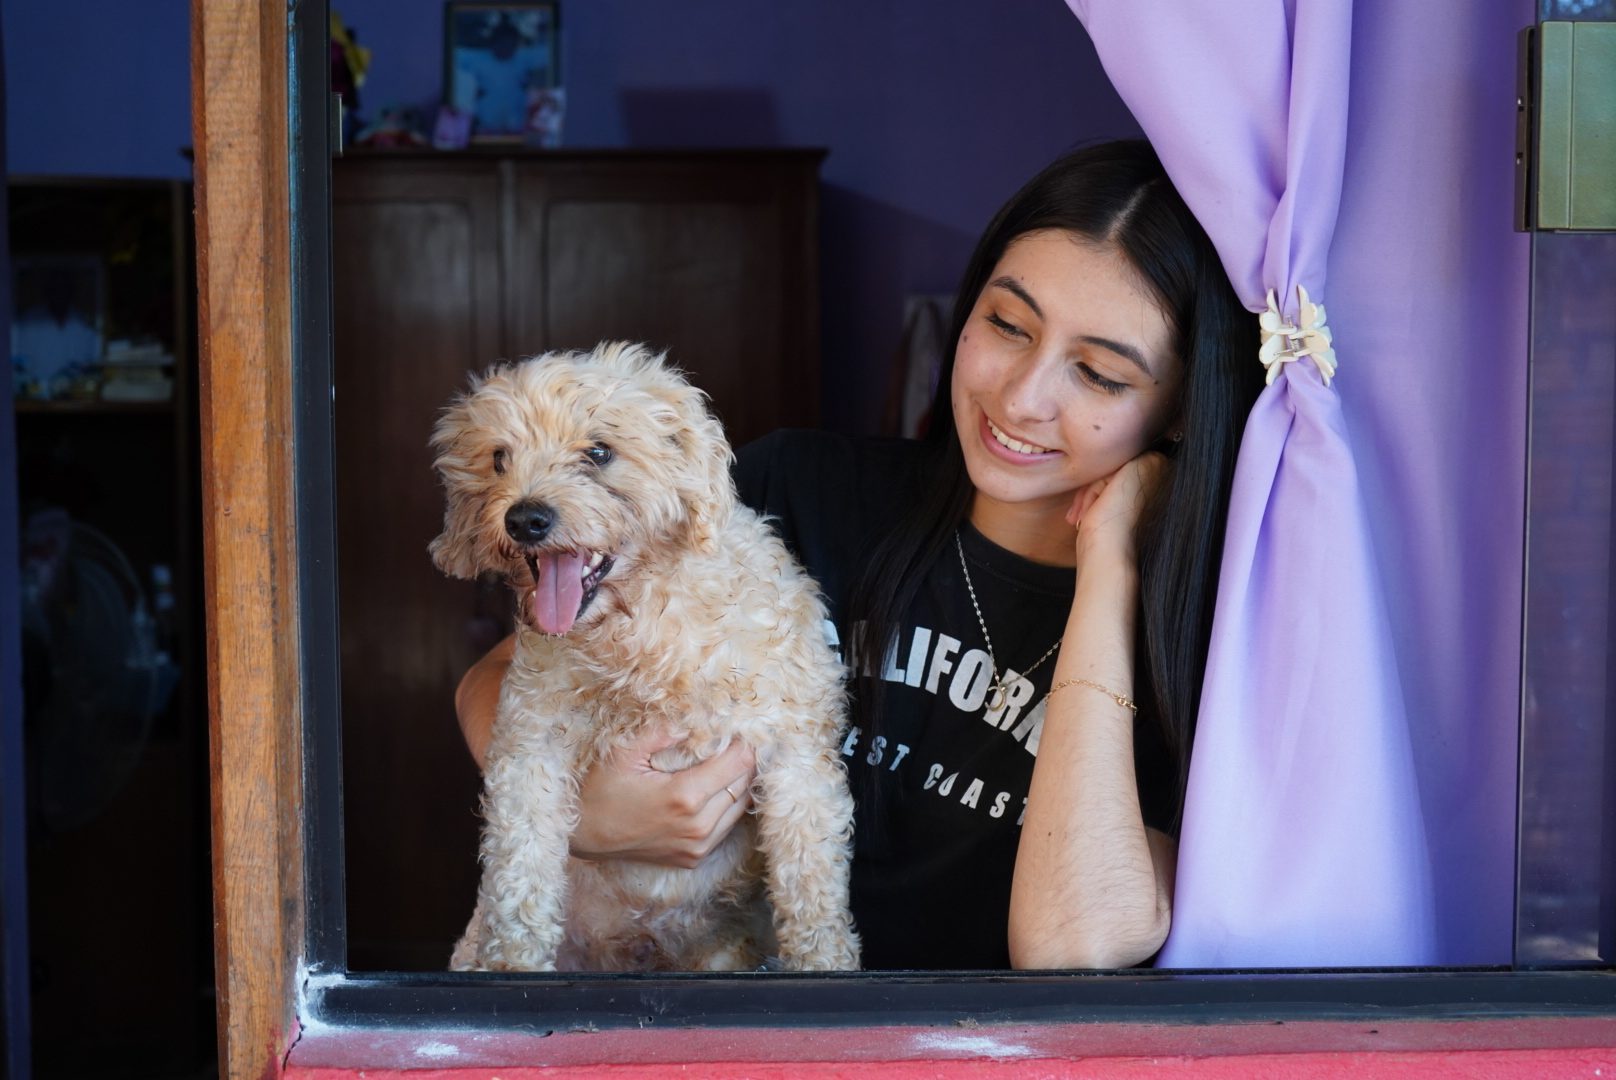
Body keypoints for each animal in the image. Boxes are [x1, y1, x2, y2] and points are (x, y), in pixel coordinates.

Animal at [429, 344, 859, 970]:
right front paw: (512, 964)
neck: (641, 636)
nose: (525, 519)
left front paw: (824, 966)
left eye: (599, 452)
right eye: (499, 457)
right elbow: (519, 864)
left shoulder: (795, 753)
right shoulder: (530, 743)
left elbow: (812, 890)